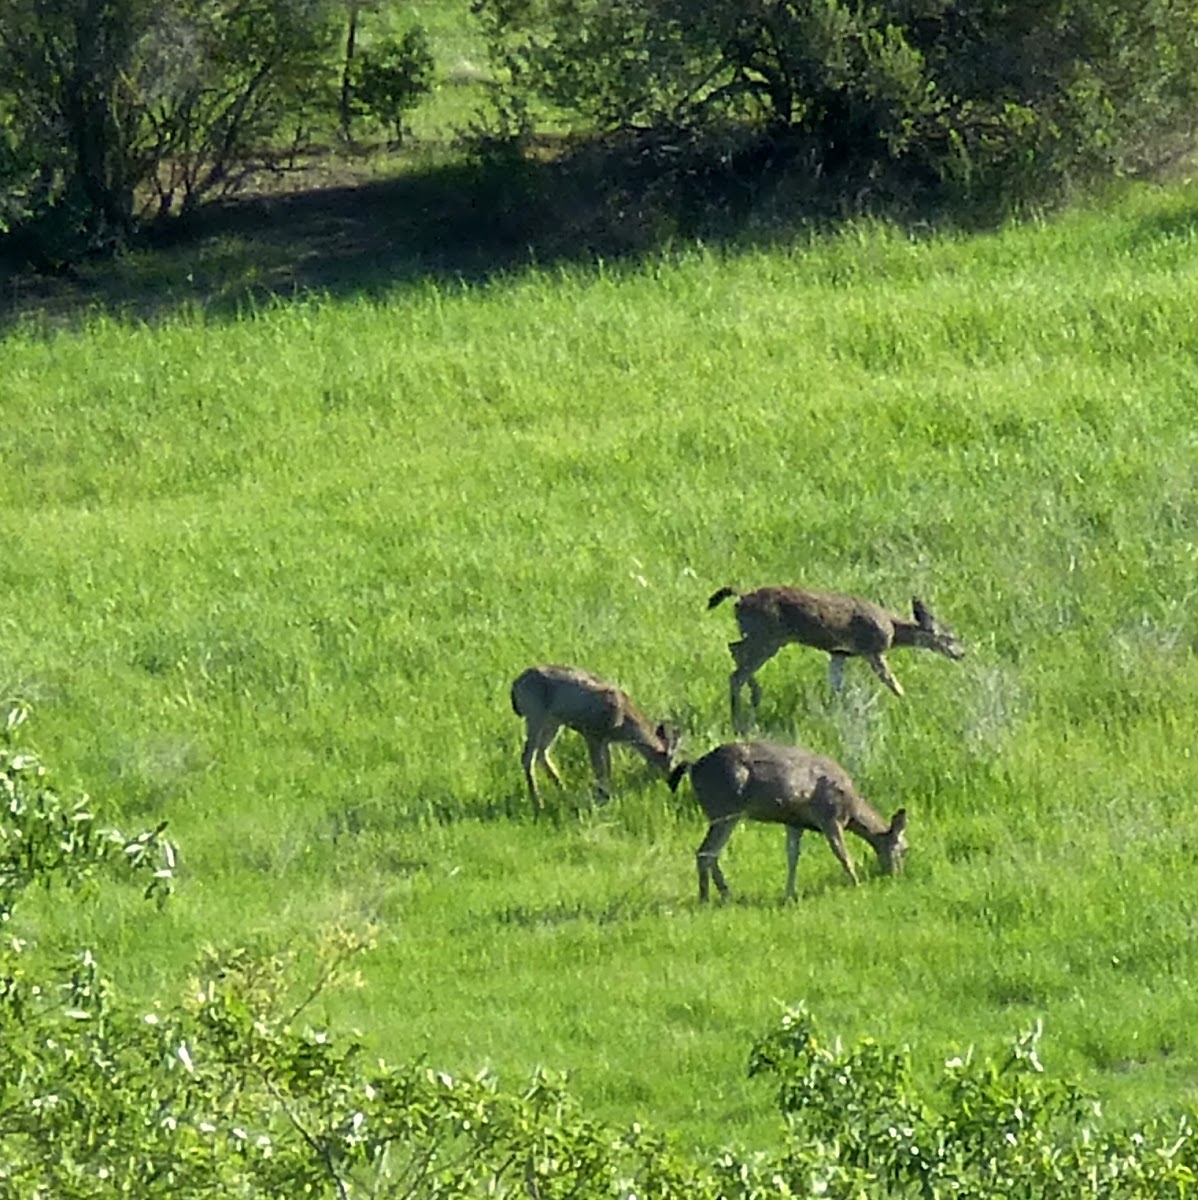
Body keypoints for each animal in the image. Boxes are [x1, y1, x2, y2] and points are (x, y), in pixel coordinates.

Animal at [508, 667, 681, 816]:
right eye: (669, 762)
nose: (668, 781)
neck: (624, 720)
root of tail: (515, 685)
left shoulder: (605, 740)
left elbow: (607, 768)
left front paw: (607, 796)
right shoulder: (592, 735)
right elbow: (599, 769)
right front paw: (604, 798)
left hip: (554, 721)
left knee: (541, 752)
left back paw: (563, 790)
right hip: (535, 714)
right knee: (527, 756)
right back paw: (539, 803)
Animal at [667, 739, 907, 902]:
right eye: (905, 849)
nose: (897, 876)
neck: (852, 809)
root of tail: (693, 767)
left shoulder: (794, 822)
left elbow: (792, 856)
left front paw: (789, 894)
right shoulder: (829, 816)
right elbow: (843, 855)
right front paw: (857, 885)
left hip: (723, 813)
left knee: (711, 853)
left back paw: (725, 896)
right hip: (724, 809)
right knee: (705, 852)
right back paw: (706, 899)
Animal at [710, 583, 965, 729]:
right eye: (949, 637)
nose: (962, 653)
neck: (893, 628)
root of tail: (740, 599)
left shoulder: (839, 653)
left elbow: (836, 687)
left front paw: (835, 713)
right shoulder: (873, 649)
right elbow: (891, 682)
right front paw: (908, 703)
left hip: (759, 635)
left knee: (734, 650)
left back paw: (753, 698)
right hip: (768, 637)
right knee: (737, 671)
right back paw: (741, 716)